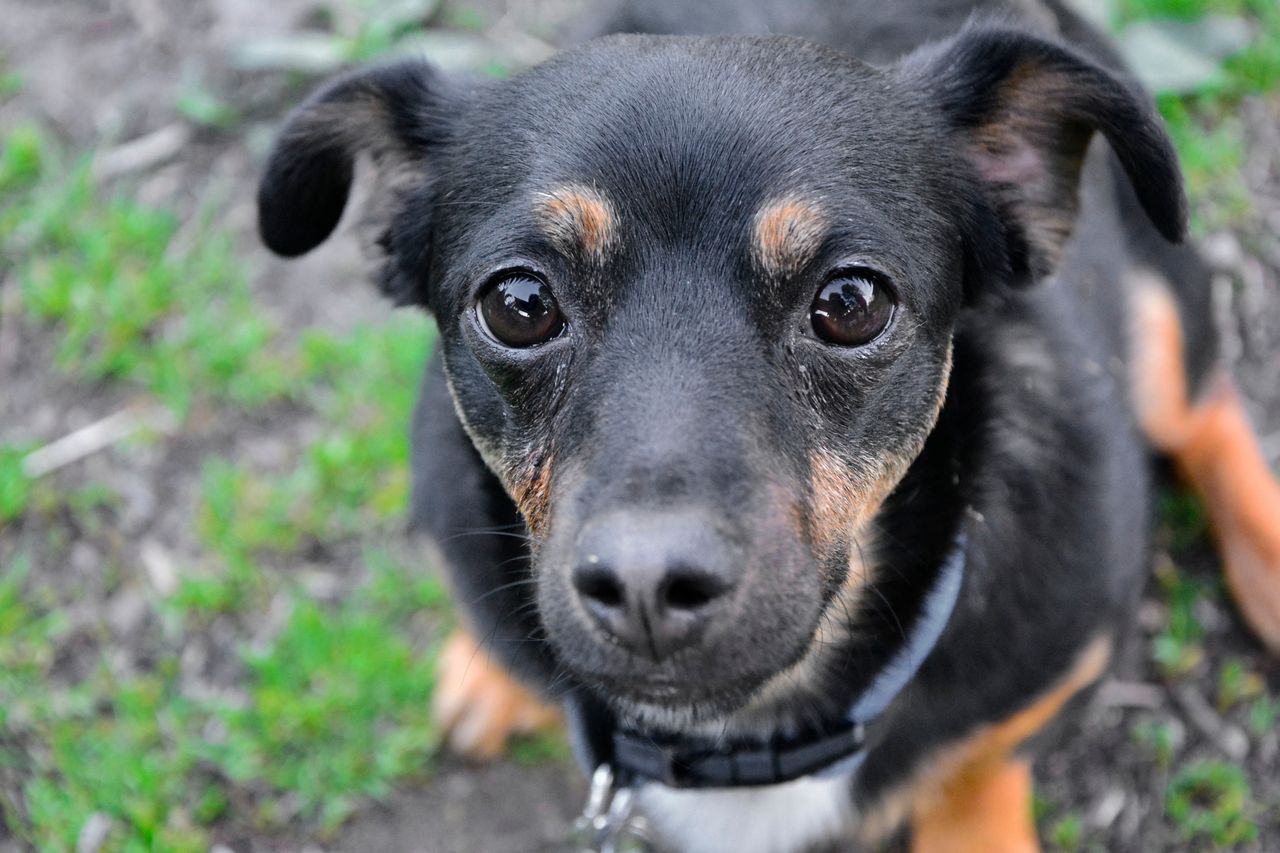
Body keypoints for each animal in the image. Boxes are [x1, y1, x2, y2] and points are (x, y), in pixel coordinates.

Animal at [252, 3, 1280, 845]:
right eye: (518, 304)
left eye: (853, 303)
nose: (647, 583)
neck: (745, 740)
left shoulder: (1058, 658)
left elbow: (979, 766)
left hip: (1158, 317)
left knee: (1208, 406)